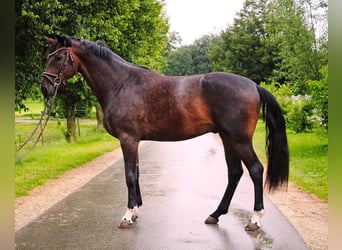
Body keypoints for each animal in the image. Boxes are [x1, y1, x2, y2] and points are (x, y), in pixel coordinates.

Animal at [41, 35, 290, 230]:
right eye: (48, 57)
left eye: (59, 58)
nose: (45, 88)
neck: (121, 84)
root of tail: (253, 85)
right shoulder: (134, 141)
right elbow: (136, 173)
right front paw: (136, 211)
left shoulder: (128, 139)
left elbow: (129, 176)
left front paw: (127, 215)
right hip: (228, 139)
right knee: (235, 173)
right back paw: (215, 214)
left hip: (239, 140)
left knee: (256, 170)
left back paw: (255, 219)